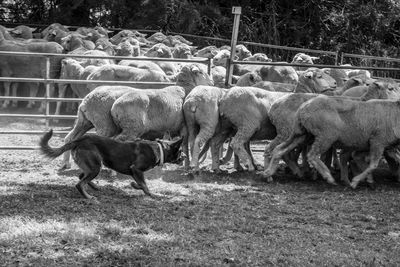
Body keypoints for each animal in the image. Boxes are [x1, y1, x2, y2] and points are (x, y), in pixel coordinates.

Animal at [39, 130, 184, 201]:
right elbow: (145, 185)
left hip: (91, 166)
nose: (184, 158)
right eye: (181, 151)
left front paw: (134, 185)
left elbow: (141, 184)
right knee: (79, 183)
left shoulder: (136, 173)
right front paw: (152, 195)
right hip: (95, 167)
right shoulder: (136, 169)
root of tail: (80, 139)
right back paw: (88, 197)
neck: (160, 149)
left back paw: (94, 187)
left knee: (81, 176)